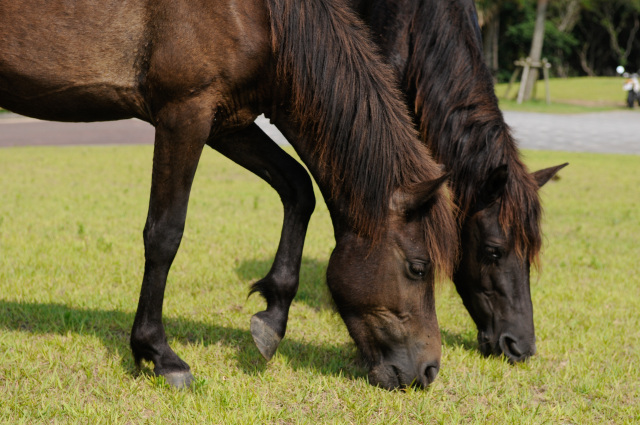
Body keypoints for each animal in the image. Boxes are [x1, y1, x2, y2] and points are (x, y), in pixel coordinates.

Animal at [2, 0, 458, 388]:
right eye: (418, 268)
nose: (429, 371)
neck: (260, 15)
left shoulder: (226, 120)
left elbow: (298, 186)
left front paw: (272, 319)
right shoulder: (184, 113)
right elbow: (164, 234)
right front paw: (159, 353)